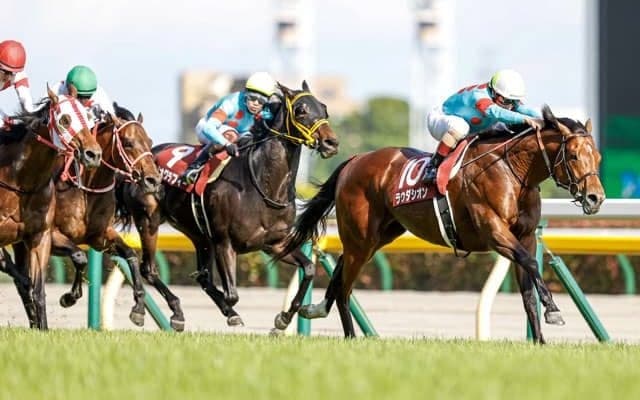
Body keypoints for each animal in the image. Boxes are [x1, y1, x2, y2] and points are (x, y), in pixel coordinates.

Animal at [0, 86, 102, 329]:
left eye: (87, 118)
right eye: (65, 120)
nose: (93, 154)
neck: (21, 181)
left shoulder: (40, 236)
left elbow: (38, 290)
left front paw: (44, 326)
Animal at [51, 104, 161, 327]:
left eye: (150, 142)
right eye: (128, 143)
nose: (153, 180)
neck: (86, 189)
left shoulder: (100, 237)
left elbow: (131, 255)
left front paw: (138, 308)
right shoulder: (51, 236)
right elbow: (79, 256)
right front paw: (69, 296)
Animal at [116, 81, 339, 331]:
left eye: (324, 109)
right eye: (301, 110)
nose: (331, 142)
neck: (262, 184)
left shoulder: (274, 243)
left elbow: (309, 269)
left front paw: (284, 318)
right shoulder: (225, 243)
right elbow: (232, 295)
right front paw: (233, 313)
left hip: (197, 233)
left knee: (200, 275)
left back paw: (180, 312)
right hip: (149, 220)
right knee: (149, 269)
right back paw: (155, 311)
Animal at [278, 105, 605, 343]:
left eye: (598, 157)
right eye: (573, 156)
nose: (596, 197)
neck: (512, 170)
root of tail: (355, 160)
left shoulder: (524, 237)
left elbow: (527, 290)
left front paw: (539, 341)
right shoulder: (494, 231)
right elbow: (532, 263)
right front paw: (554, 310)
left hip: (376, 237)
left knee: (340, 275)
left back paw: (315, 310)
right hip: (360, 237)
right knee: (345, 288)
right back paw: (349, 337)